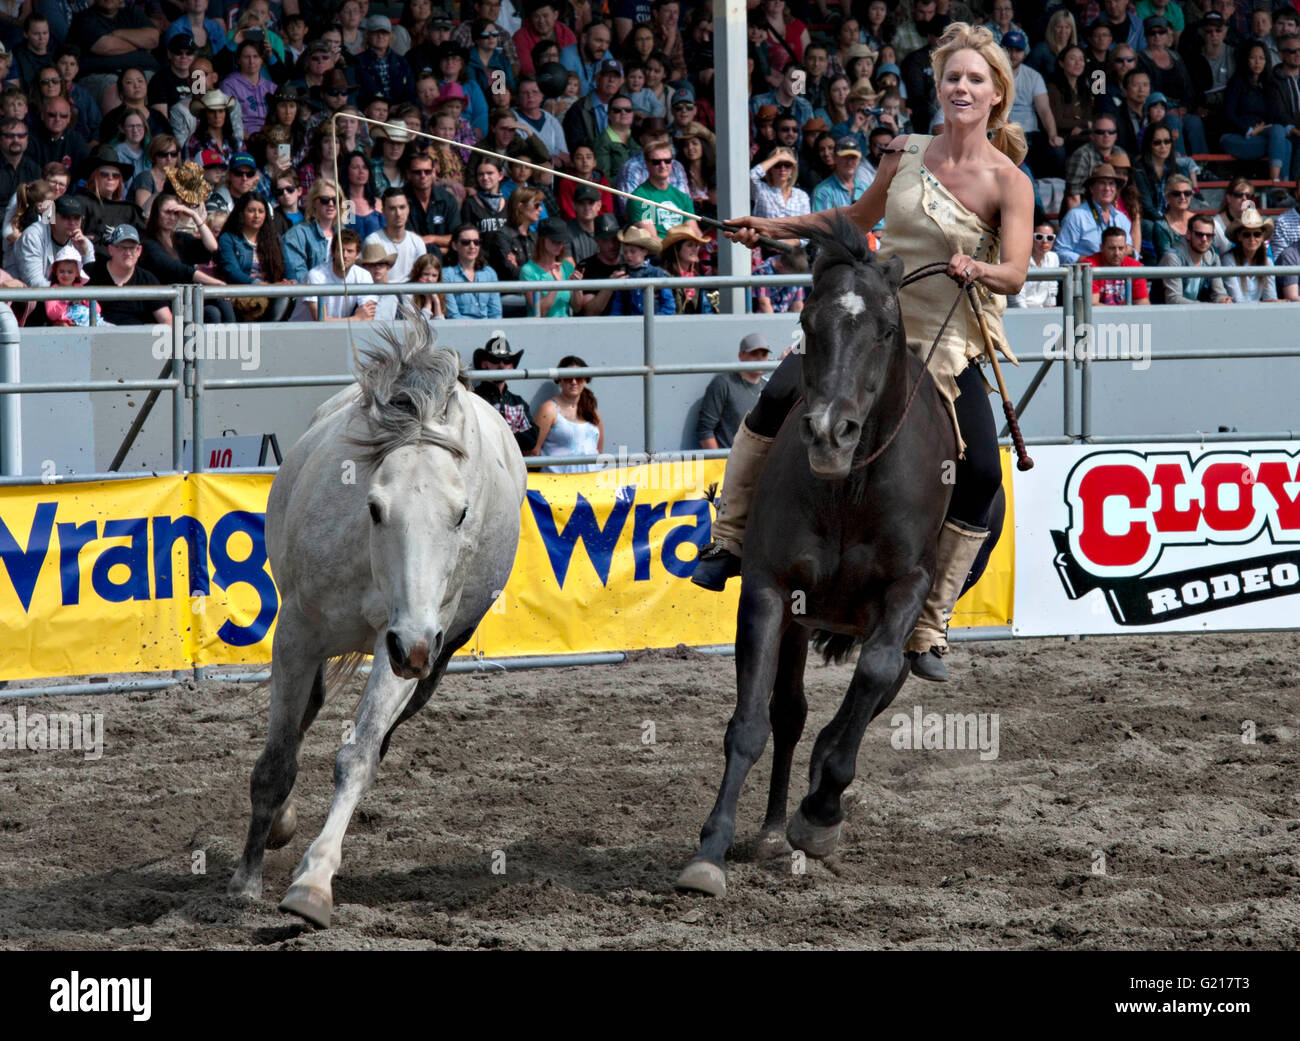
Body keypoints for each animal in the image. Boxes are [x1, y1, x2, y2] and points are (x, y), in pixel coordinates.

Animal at [230, 318, 527, 925]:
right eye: (374, 507)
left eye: (461, 513)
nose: (413, 646)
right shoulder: (297, 635)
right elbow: (276, 762)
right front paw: (247, 879)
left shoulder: (408, 645)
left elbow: (358, 756)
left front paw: (314, 884)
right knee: (303, 720)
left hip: (437, 656)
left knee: (378, 735)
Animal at [676, 217, 998, 894]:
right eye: (807, 322)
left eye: (884, 329)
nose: (829, 432)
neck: (850, 490)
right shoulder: (770, 591)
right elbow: (752, 722)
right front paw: (710, 851)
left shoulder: (906, 591)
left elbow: (871, 677)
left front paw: (822, 812)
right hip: (804, 618)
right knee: (791, 714)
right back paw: (775, 828)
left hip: (913, 626)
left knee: (874, 690)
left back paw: (814, 805)